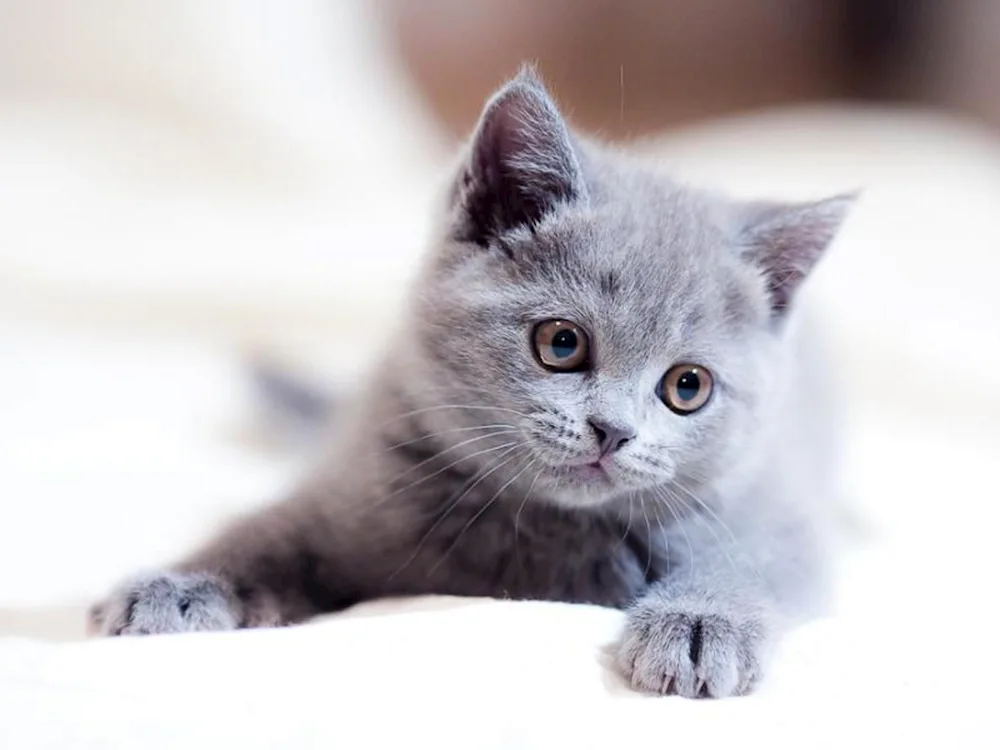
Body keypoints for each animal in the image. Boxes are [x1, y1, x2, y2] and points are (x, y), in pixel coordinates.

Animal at [92, 67, 852, 704]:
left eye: (687, 387)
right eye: (561, 343)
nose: (612, 431)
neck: (544, 529)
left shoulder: (775, 510)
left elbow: (750, 563)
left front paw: (697, 626)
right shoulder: (353, 493)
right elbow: (264, 532)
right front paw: (178, 585)